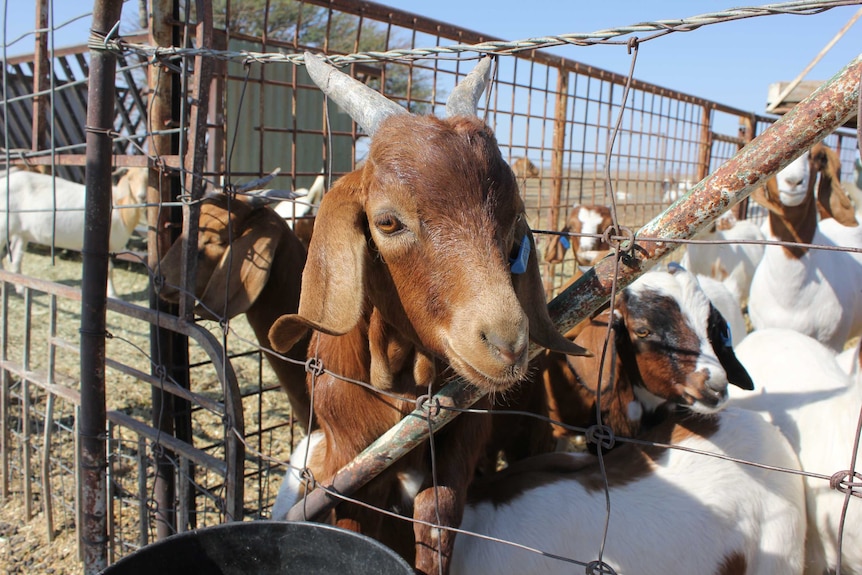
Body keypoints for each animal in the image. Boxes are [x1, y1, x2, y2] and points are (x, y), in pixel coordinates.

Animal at [0, 165, 148, 296]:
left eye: (148, 179)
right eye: (130, 179)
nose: (142, 196)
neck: (120, 207)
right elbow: (109, 269)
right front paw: (113, 294)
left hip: (21, 232)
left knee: (15, 257)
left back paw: (21, 290)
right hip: (4, 225)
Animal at [268, 54, 588, 575]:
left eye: (514, 220)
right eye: (387, 221)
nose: (507, 344)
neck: (399, 379)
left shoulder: (464, 432)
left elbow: (437, 517)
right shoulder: (347, 460)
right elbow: (353, 521)